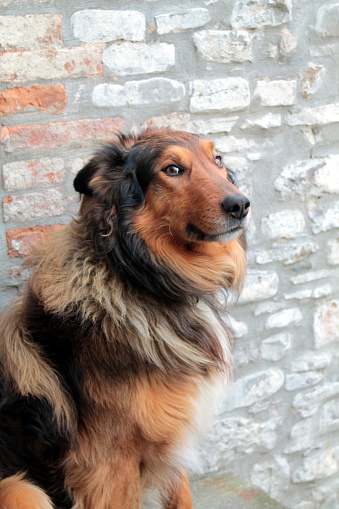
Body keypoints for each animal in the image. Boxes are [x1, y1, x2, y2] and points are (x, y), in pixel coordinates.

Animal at [0, 128, 250, 508]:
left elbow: (181, 494)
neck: (135, 275)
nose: (240, 205)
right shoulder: (108, 463)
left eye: (218, 159)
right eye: (172, 169)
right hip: (20, 489)